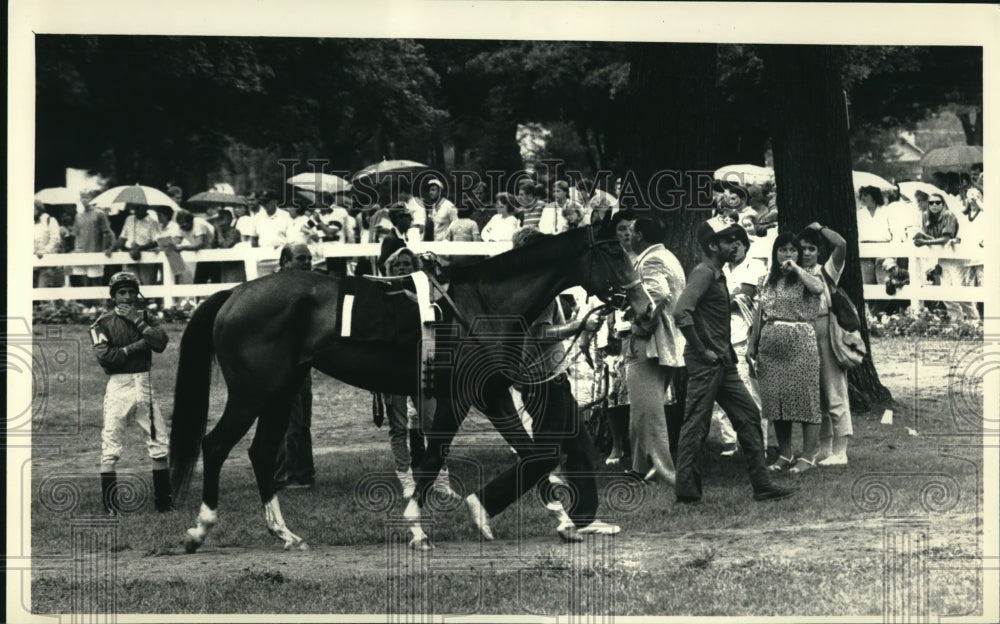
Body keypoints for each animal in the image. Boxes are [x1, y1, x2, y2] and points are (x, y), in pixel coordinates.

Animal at [170, 221, 656, 552]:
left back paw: (285, 533)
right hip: (254, 391)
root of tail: (234, 294)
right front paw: (421, 527)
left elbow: (535, 454)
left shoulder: (491, 393)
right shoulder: (463, 397)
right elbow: (433, 457)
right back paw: (198, 529)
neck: (481, 306)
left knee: (259, 452)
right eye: (614, 253)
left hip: (280, 391)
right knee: (215, 445)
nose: (645, 306)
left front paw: (561, 521)